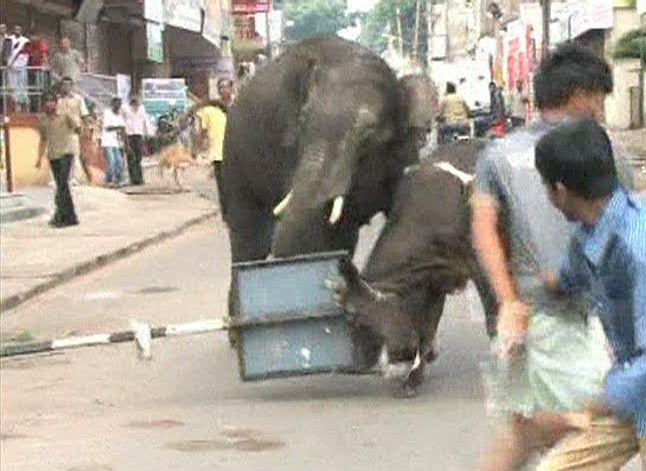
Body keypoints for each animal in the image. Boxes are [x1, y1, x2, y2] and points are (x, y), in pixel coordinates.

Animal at [336, 141, 498, 398]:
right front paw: (413, 379)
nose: (359, 367)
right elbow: (426, 328)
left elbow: (492, 315)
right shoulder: (433, 282)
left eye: (353, 316)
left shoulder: (479, 266)